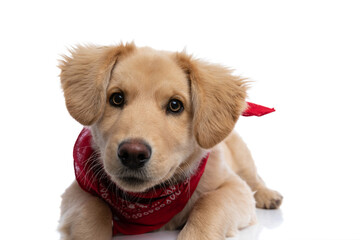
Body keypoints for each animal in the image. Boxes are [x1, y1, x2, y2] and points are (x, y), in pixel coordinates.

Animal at [57, 43, 282, 240]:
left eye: (175, 105)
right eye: (117, 98)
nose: (132, 154)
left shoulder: (236, 187)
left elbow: (210, 202)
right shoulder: (74, 192)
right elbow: (93, 208)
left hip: (243, 158)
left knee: (255, 179)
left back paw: (268, 196)